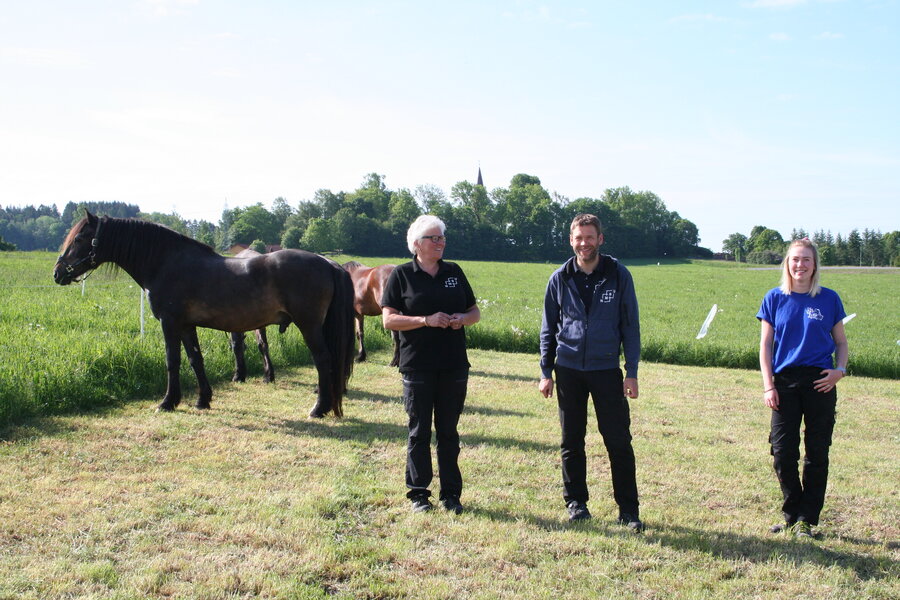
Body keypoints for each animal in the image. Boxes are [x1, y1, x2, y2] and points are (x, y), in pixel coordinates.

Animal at [51, 214, 356, 418]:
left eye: (79, 238)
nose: (58, 272)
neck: (166, 263)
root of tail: (328, 263)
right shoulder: (187, 326)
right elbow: (195, 360)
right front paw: (202, 400)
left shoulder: (170, 323)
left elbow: (172, 361)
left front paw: (167, 402)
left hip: (310, 326)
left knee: (323, 360)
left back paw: (319, 409)